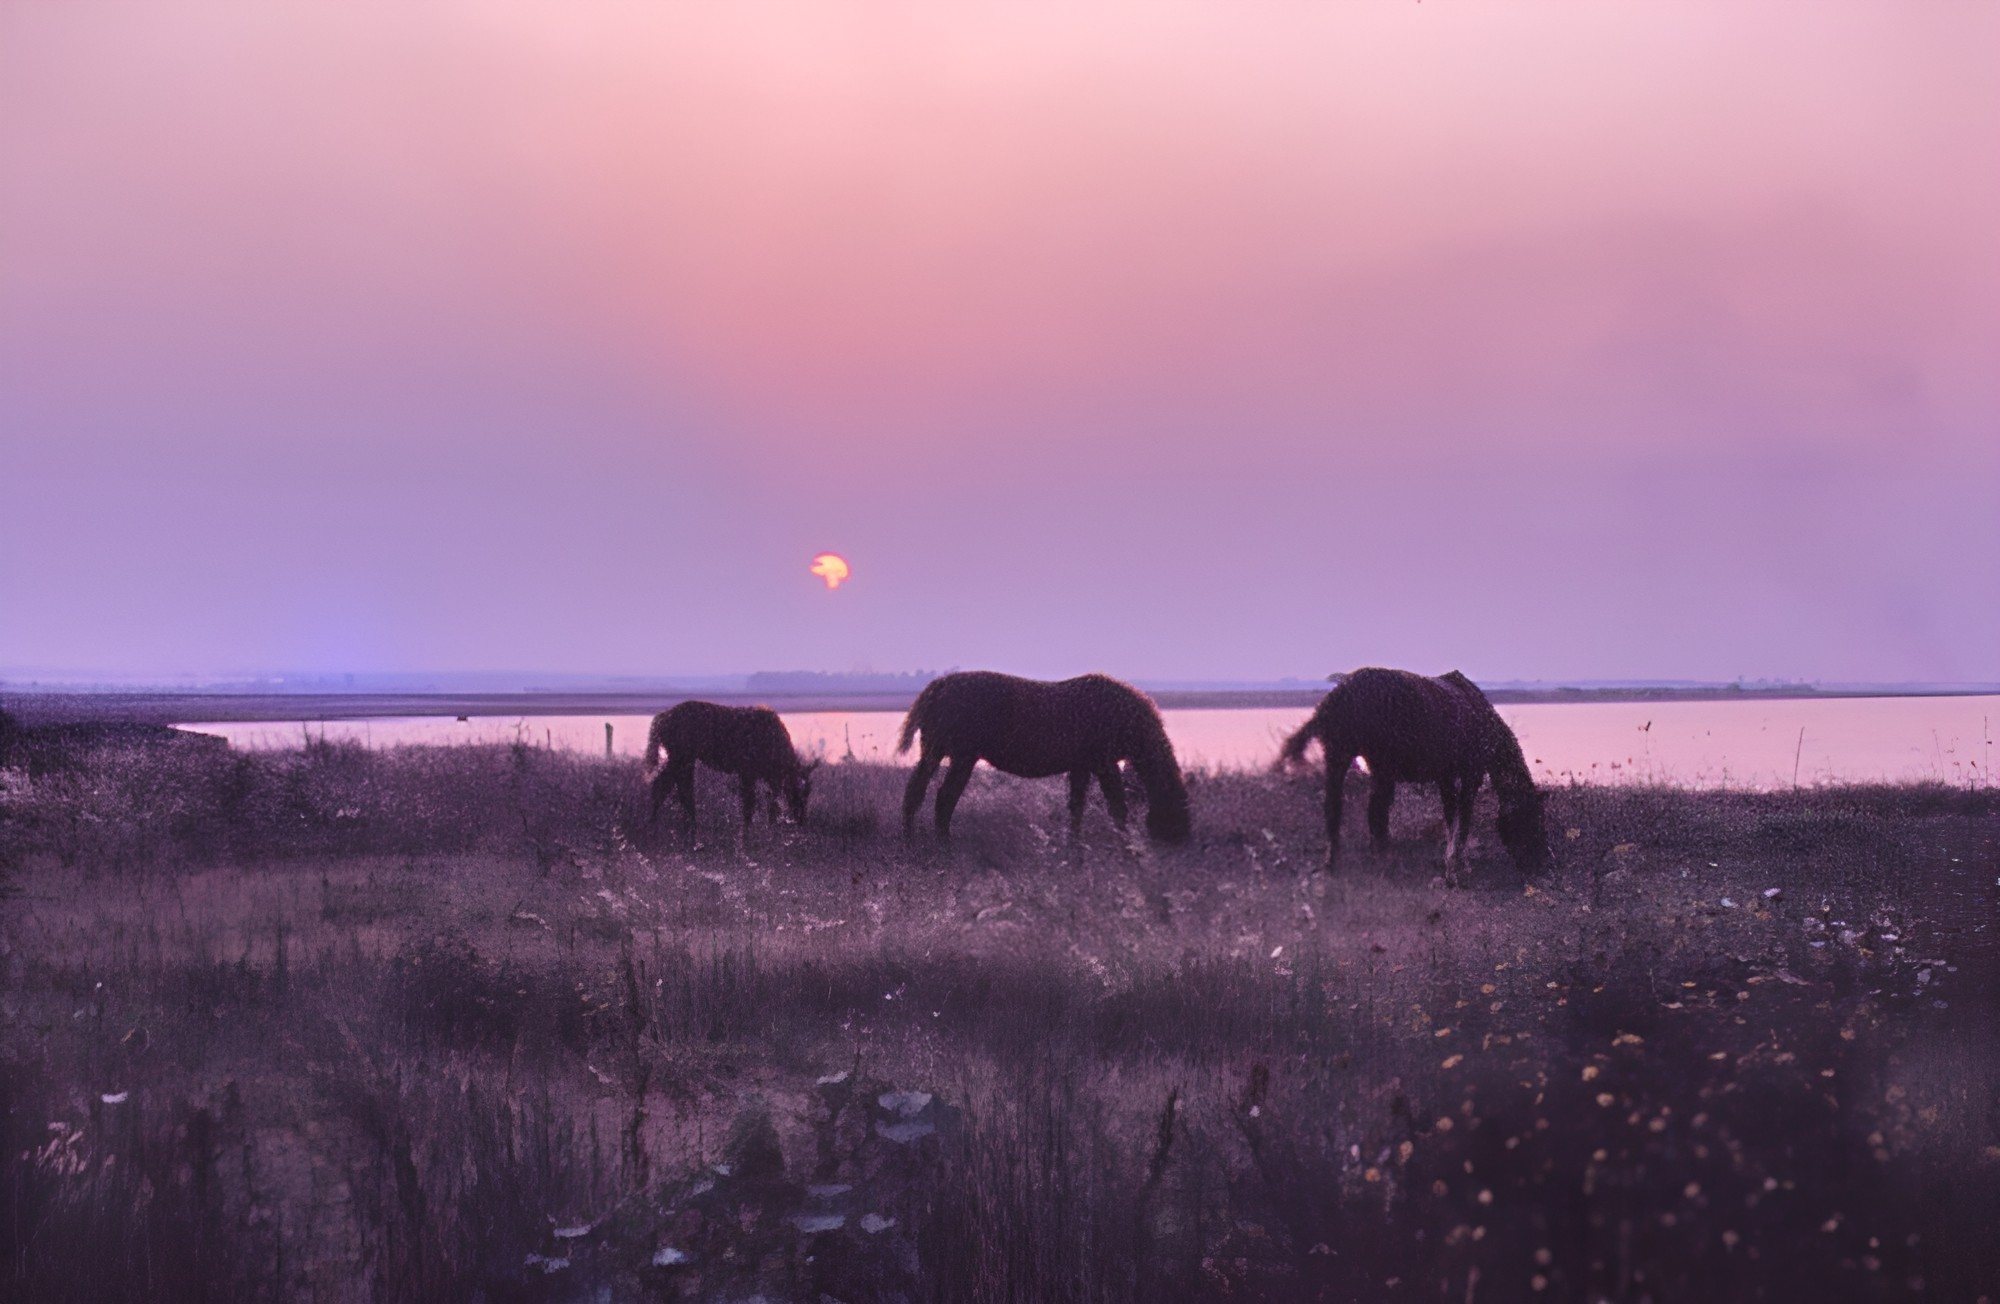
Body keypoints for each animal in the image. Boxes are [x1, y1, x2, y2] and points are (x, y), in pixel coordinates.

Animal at [644, 701, 818, 830]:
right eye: (802, 793)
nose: (802, 820)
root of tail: (660, 719)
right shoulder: (748, 772)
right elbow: (749, 805)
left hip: (681, 759)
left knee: (670, 786)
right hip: (681, 757)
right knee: (671, 786)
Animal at [896, 671, 1192, 844]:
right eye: (1177, 814)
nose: (1182, 843)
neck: (1129, 719)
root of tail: (938, 686)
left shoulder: (1082, 766)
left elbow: (1076, 810)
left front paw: (1075, 853)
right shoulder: (1104, 764)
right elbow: (1117, 809)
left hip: (935, 753)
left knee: (916, 793)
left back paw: (912, 841)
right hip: (960, 756)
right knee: (943, 798)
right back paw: (942, 845)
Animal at [1277, 668, 1549, 880]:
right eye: (1533, 819)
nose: (1539, 866)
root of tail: (1336, 698)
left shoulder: (1446, 778)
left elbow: (1451, 818)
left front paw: (1452, 862)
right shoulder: (1470, 776)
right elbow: (1462, 822)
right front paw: (1457, 868)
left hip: (1339, 759)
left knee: (1335, 810)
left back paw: (1335, 864)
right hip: (1380, 769)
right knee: (1376, 814)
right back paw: (1383, 862)